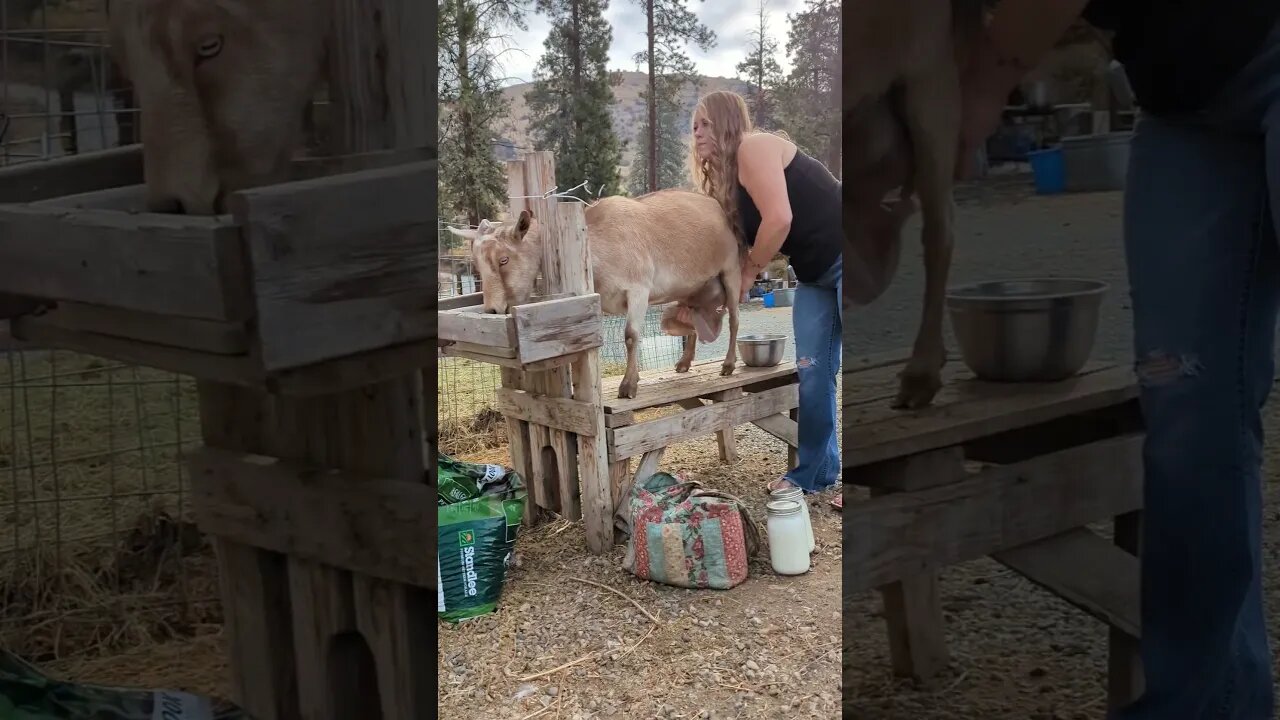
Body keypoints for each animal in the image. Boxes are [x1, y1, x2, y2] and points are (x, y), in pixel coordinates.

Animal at [450, 188, 747, 397]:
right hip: (688, 287)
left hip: (731, 270)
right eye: (476, 263)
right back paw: (684, 362)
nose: (492, 310)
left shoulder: (638, 289)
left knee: (734, 319)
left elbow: (630, 336)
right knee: (691, 321)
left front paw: (628, 386)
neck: (599, 243)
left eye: (504, 260)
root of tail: (716, 207)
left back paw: (728, 365)